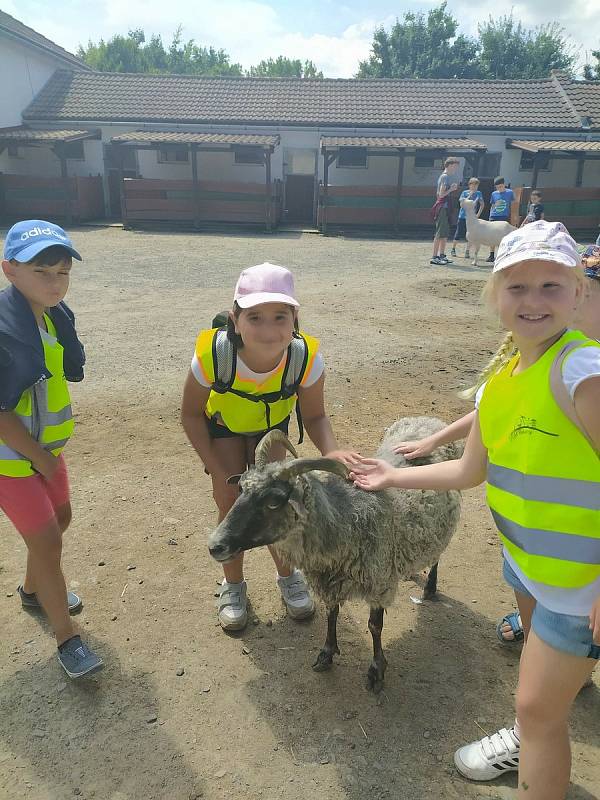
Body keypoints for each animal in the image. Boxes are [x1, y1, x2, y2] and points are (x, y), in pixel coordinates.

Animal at [209, 418, 462, 692]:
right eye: (241, 488)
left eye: (274, 501)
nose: (215, 545)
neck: (346, 519)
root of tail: (428, 420)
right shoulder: (329, 580)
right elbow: (332, 613)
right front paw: (327, 653)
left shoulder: (379, 583)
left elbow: (374, 626)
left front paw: (377, 670)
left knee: (437, 554)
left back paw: (430, 587)